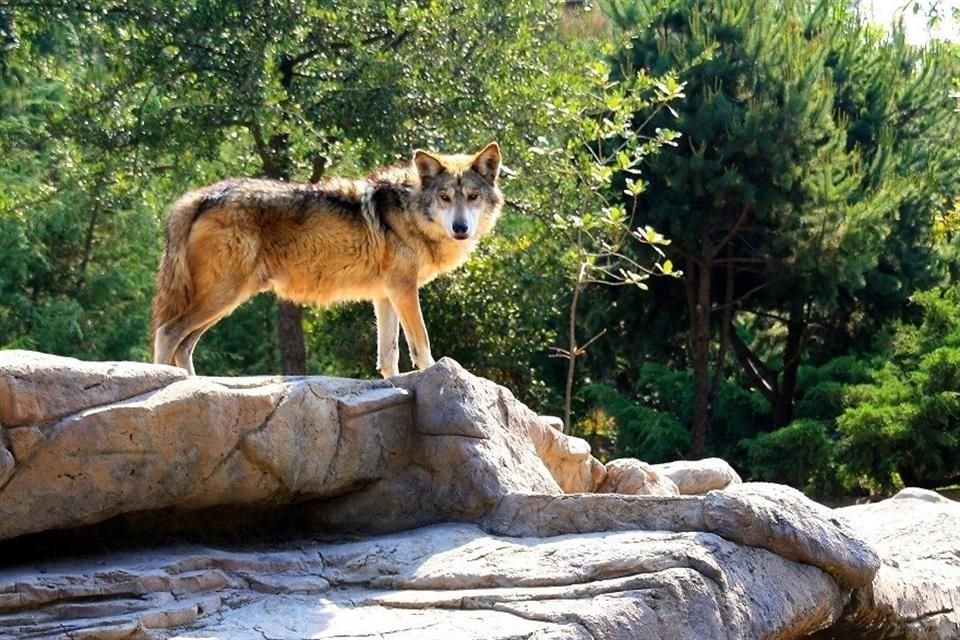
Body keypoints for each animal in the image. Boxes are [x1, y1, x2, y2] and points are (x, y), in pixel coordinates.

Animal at [150, 142, 502, 378]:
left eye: (473, 197)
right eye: (445, 198)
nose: (460, 228)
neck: (410, 211)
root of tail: (198, 197)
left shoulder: (385, 294)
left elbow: (388, 356)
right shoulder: (403, 289)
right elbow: (421, 343)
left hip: (223, 302)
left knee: (184, 344)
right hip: (223, 296)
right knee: (167, 333)